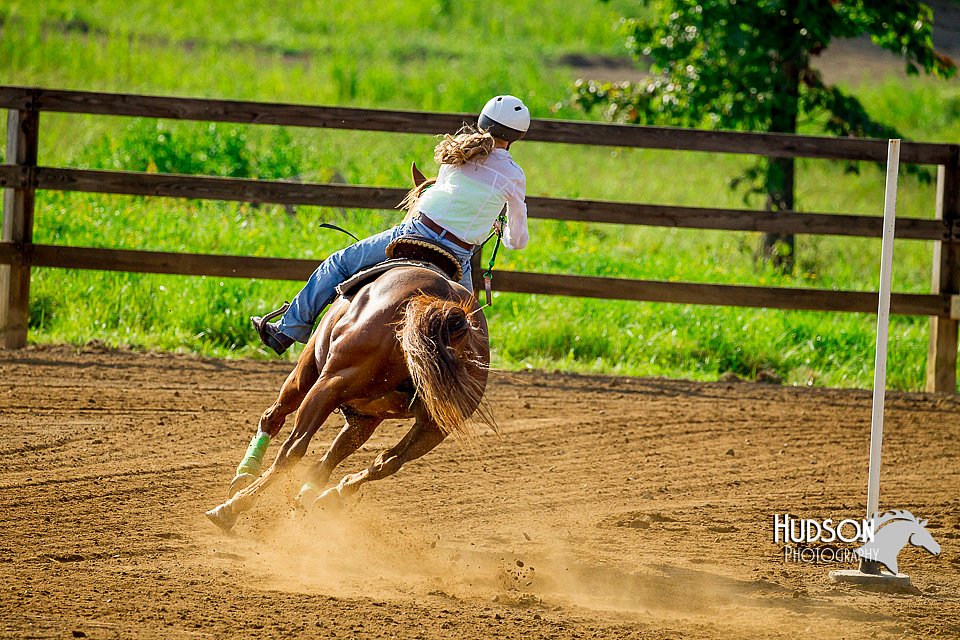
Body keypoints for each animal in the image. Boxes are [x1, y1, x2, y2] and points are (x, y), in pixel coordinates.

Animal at [208, 168, 496, 532]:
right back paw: (327, 497)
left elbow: (273, 417)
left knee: (292, 449)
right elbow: (331, 458)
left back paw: (230, 508)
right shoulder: (365, 417)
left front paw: (244, 476)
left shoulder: (306, 373)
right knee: (387, 461)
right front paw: (306, 499)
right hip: (435, 425)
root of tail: (438, 304)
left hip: (328, 384)